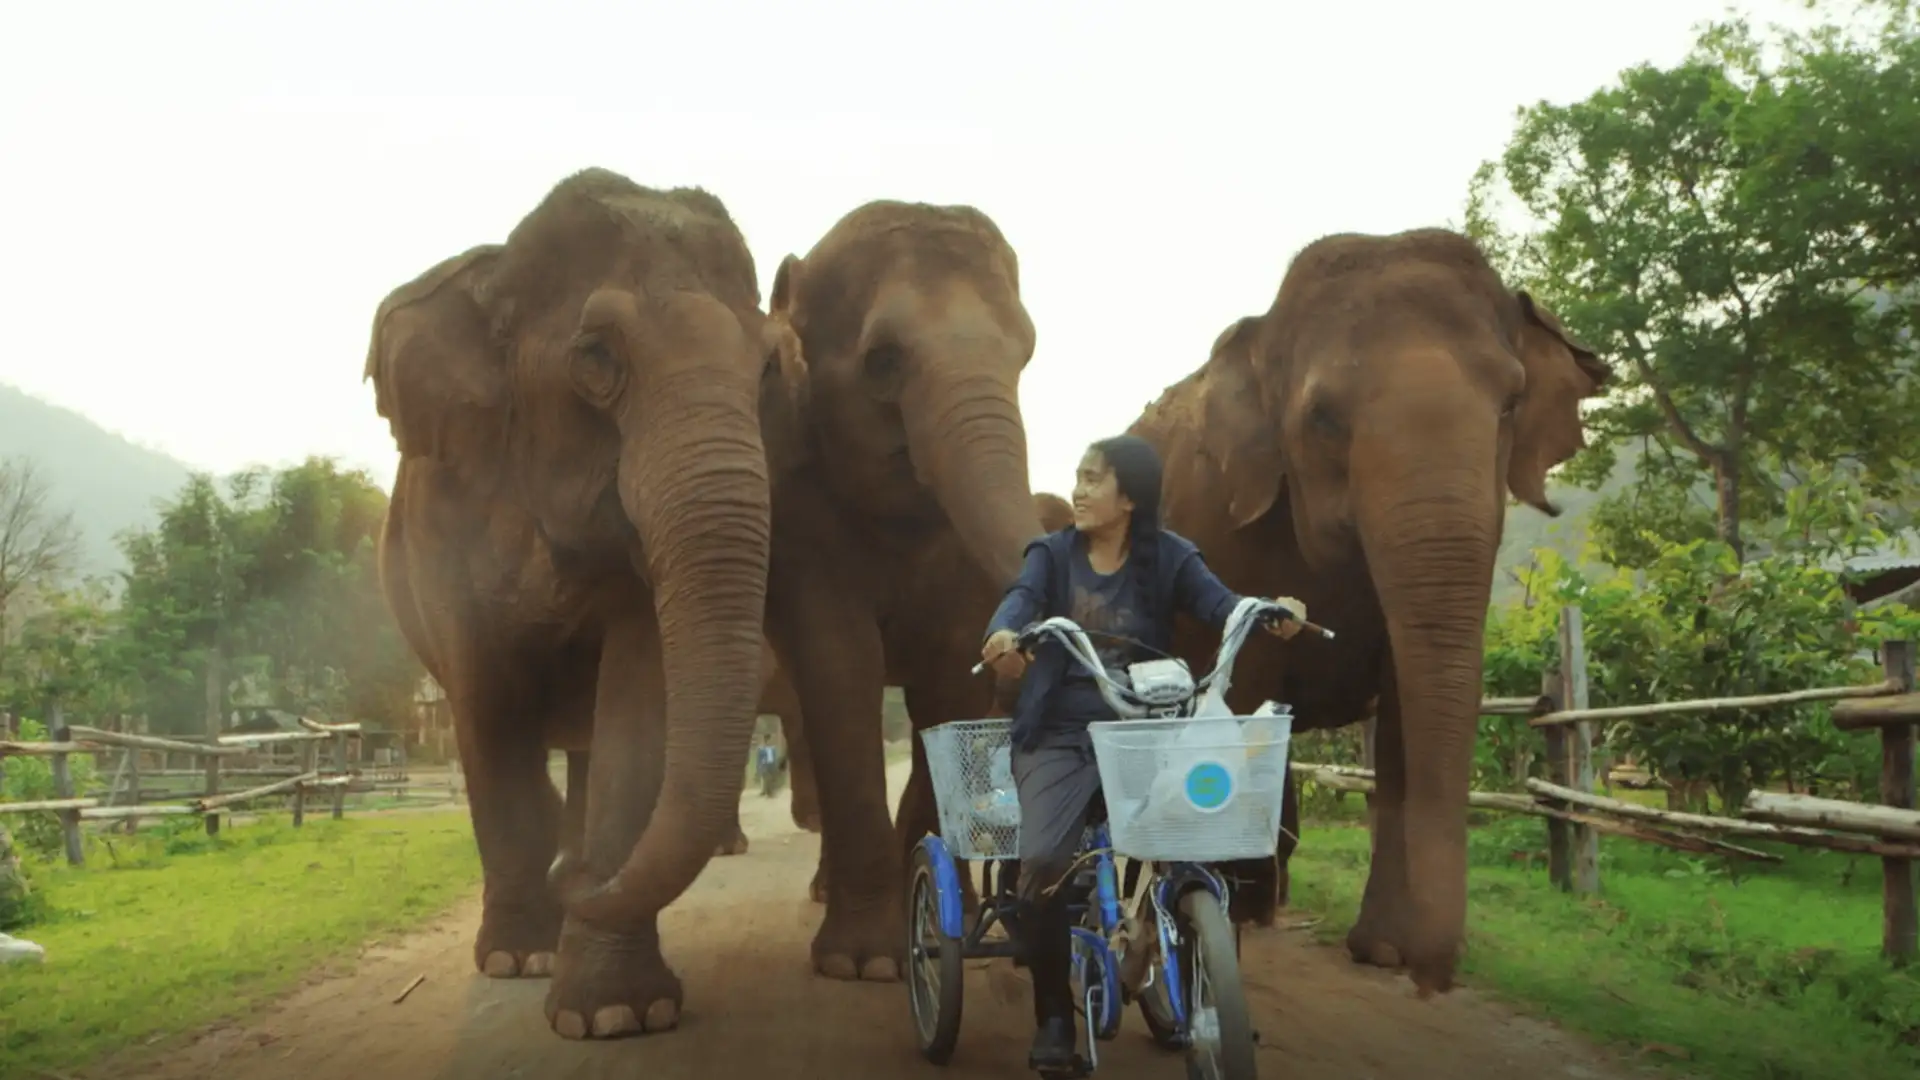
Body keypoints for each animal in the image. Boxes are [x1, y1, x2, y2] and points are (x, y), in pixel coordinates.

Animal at [367, 168, 802, 1038]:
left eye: (768, 371)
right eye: (597, 357)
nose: (579, 879)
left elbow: (637, 708)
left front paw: (615, 1013)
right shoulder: (441, 523)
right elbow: (486, 707)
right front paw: (519, 959)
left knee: (589, 749)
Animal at [756, 200, 1042, 981]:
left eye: (1026, 354)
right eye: (882, 360)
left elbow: (948, 684)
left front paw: (946, 916)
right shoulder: (800, 511)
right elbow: (841, 668)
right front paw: (865, 964)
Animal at [1129, 228, 1609, 994]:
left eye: (1511, 405)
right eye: (1323, 419)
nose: (1434, 977)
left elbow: (1406, 724)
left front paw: (1381, 950)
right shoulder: (1223, 528)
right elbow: (1246, 696)